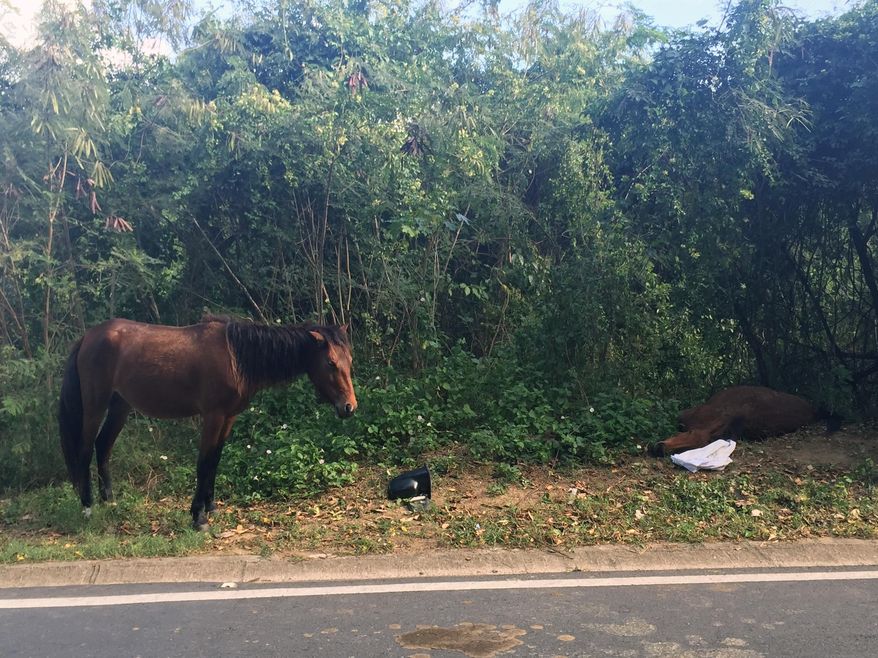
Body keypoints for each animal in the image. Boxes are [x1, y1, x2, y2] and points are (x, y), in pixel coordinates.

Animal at [58, 316, 357, 530]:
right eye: (331, 363)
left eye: (349, 360)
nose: (349, 407)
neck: (235, 356)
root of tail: (89, 336)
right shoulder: (213, 416)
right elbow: (203, 463)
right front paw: (197, 517)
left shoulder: (228, 417)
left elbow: (214, 461)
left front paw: (210, 507)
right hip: (95, 405)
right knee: (85, 449)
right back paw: (88, 507)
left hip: (120, 405)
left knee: (103, 446)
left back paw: (109, 500)